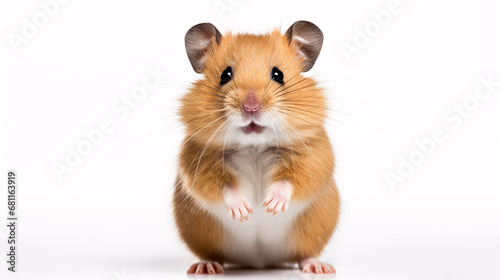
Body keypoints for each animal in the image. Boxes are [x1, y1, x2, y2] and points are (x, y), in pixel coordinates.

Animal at [173, 20, 340, 274]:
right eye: (225, 75)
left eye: (278, 74)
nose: (251, 107)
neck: (254, 145)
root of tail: (259, 261)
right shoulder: (197, 164)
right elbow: (222, 186)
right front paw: (244, 212)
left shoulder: (314, 158)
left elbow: (291, 180)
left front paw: (270, 206)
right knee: (213, 255)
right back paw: (206, 267)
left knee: (305, 254)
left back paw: (318, 267)